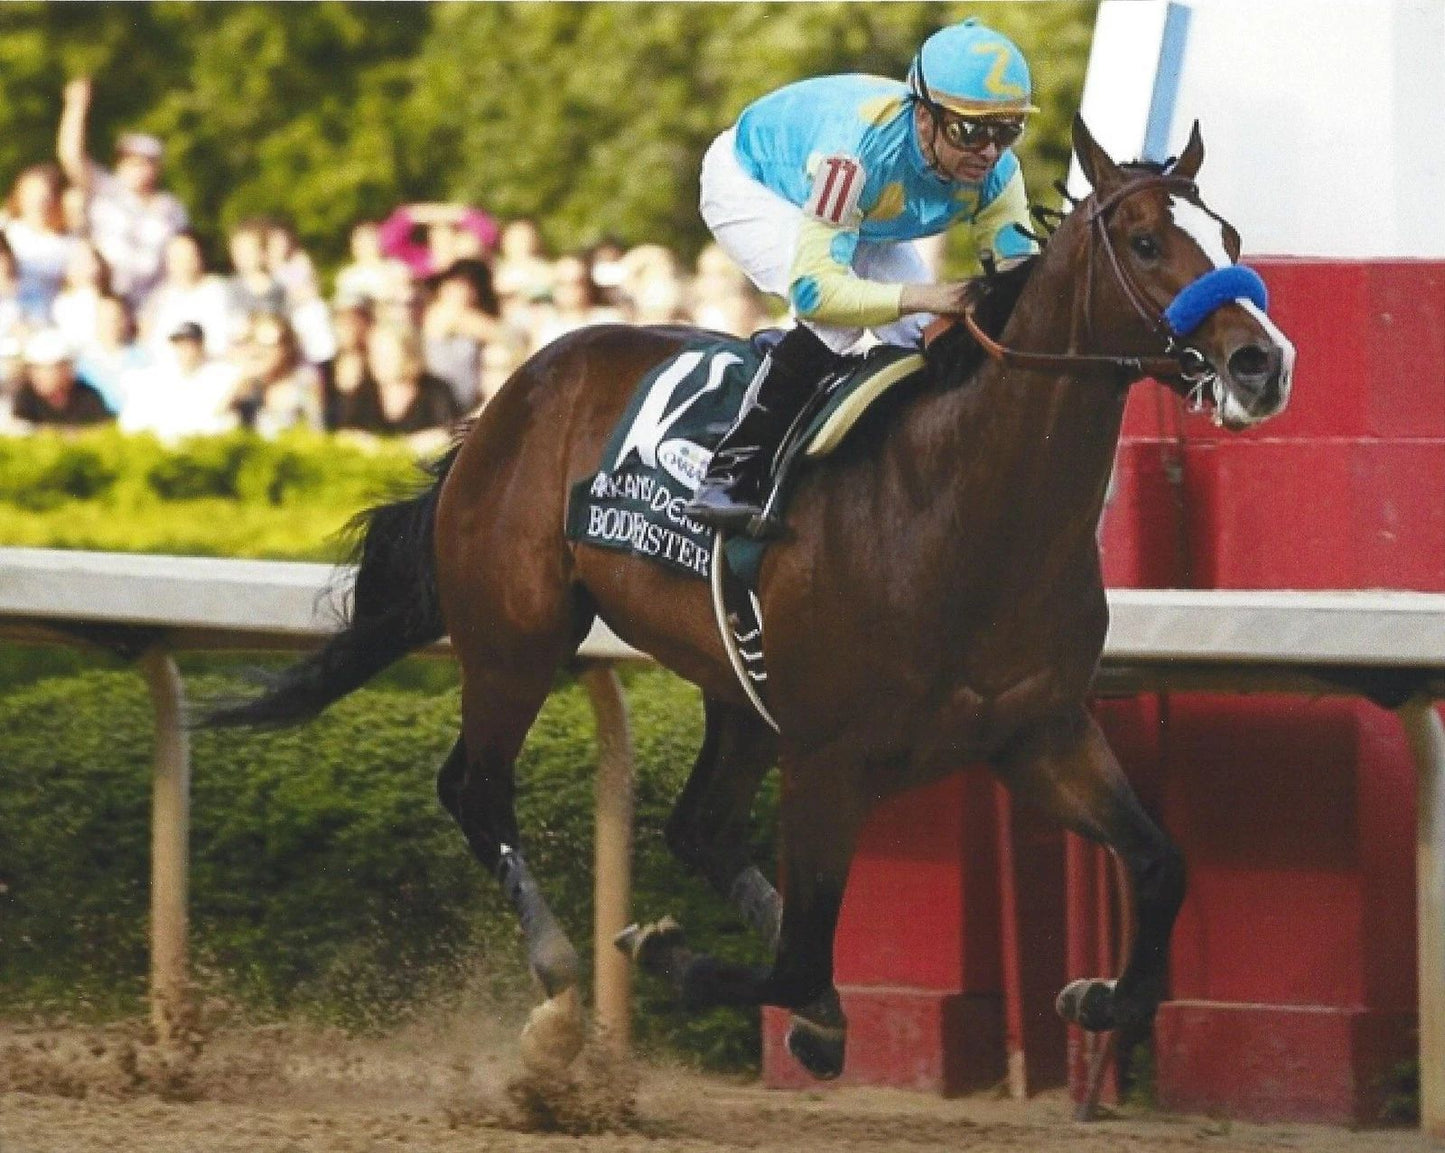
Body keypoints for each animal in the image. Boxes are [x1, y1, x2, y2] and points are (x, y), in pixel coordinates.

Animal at [209, 117, 1294, 1079]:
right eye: (1146, 240)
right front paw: (663, 951)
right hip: (518, 637)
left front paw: (1099, 995)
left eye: (1233, 239)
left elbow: (1159, 864)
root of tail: (514, 391)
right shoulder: (829, 755)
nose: (1260, 362)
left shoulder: (1040, 733)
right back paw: (562, 975)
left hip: (735, 685)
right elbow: (798, 956)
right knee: (475, 788)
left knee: (690, 824)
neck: (959, 507)